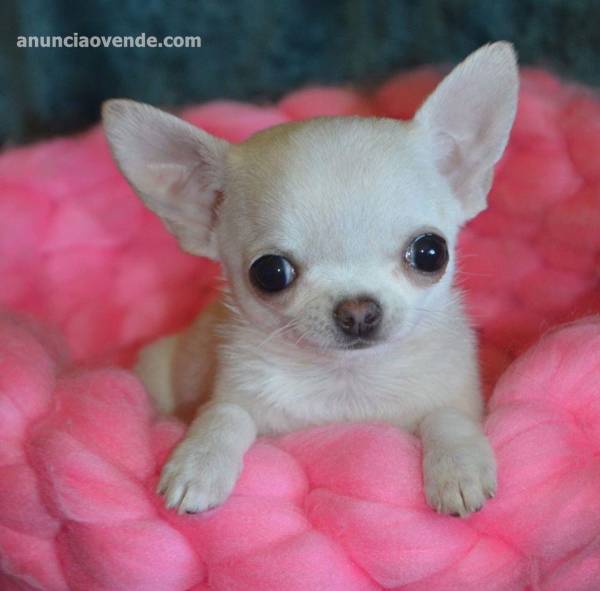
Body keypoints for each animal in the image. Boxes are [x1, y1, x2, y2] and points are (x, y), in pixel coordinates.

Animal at [103, 42, 520, 520]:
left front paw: (460, 469)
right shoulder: (239, 393)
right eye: (270, 273)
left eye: (430, 253)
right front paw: (197, 465)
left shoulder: (457, 397)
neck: (346, 383)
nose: (358, 311)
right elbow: (224, 415)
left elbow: (448, 417)